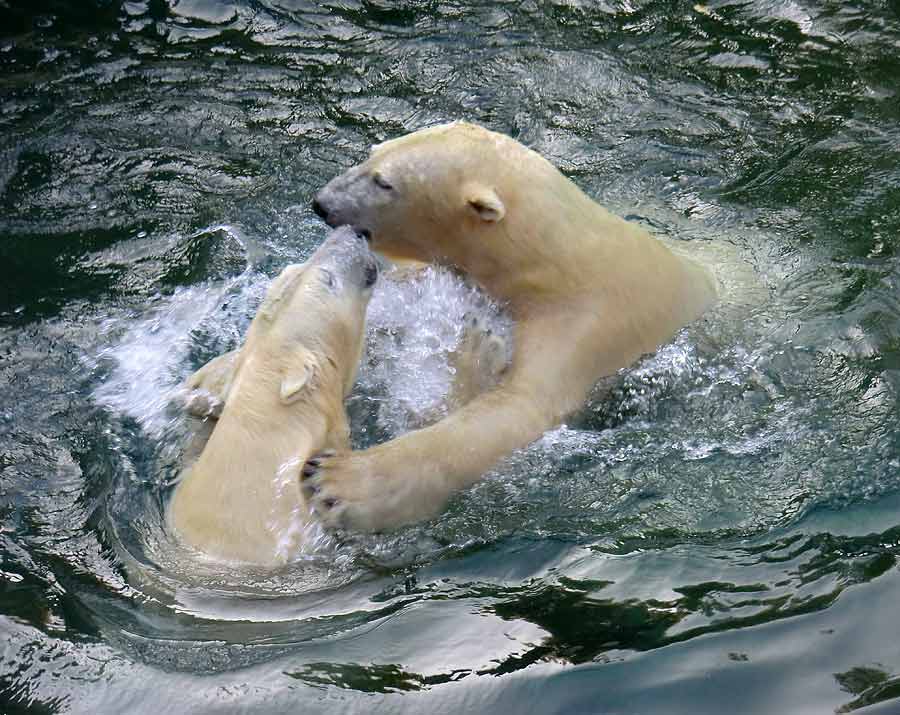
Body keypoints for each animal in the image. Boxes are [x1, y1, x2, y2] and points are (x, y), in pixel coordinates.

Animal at [302, 121, 716, 532]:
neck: (556, 263)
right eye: (373, 152)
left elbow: (516, 410)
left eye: (384, 182)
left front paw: (337, 482)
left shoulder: (586, 325)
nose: (322, 203)